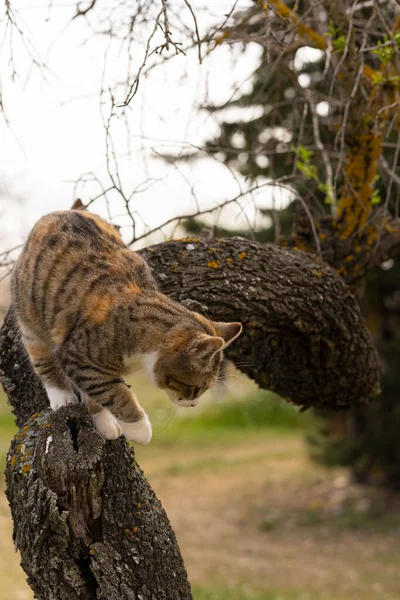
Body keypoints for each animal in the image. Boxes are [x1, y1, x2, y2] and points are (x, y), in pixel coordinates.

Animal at [12, 209, 242, 442]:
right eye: (194, 387)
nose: (193, 404)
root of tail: (59, 212)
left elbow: (95, 391)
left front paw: (104, 422)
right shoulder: (78, 354)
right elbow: (110, 390)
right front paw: (139, 428)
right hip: (31, 315)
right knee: (41, 356)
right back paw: (62, 395)